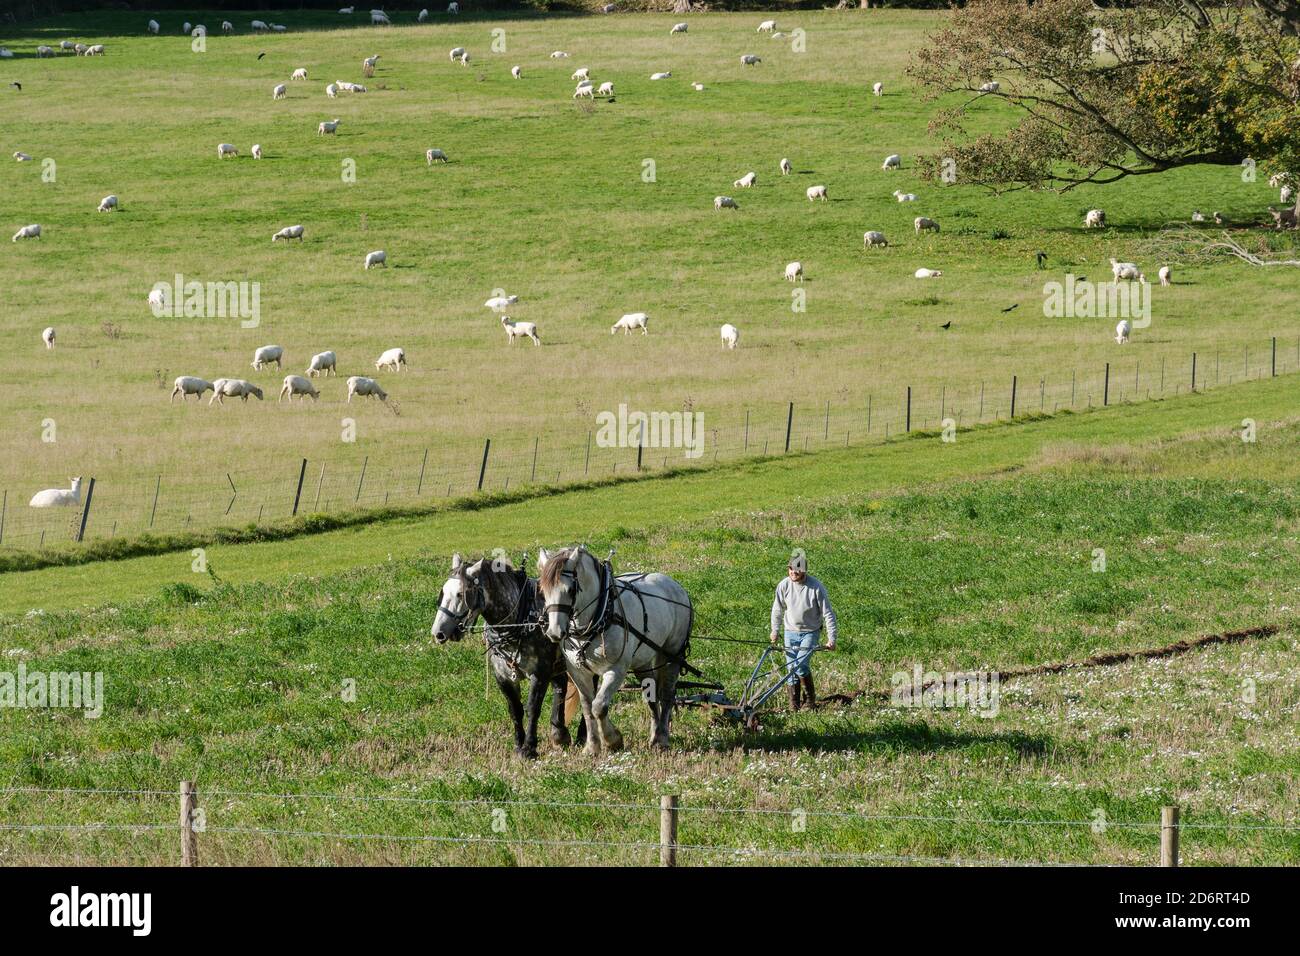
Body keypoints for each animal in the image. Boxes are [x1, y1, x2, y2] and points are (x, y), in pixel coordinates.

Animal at [431, 553, 580, 759]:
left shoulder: (540, 673)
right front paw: (518, 745)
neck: (521, 619)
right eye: (443, 592)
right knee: (561, 686)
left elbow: (533, 708)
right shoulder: (503, 677)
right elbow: (515, 710)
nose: (438, 633)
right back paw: (559, 734)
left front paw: (529, 748)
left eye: (461, 594)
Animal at [538, 545, 694, 755]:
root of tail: (677, 587)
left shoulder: (616, 670)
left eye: (570, 590)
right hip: (643, 662)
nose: (554, 632)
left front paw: (613, 740)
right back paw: (654, 737)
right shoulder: (578, 672)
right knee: (652, 698)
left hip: (672, 654)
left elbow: (599, 707)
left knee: (667, 696)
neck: (601, 613)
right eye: (542, 590)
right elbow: (587, 707)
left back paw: (662, 739)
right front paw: (592, 746)